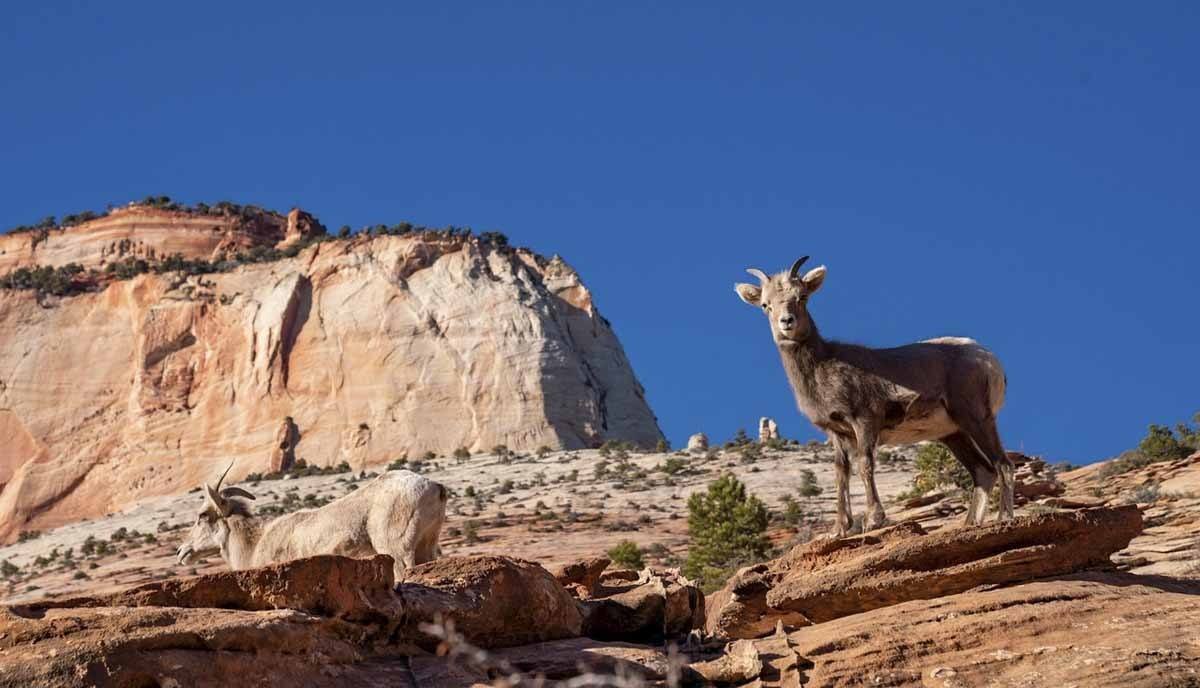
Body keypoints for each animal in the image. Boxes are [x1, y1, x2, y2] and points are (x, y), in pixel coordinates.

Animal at [175, 458, 444, 576]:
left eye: (203, 515)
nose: (182, 552)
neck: (255, 543)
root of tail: (435, 488)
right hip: (426, 547)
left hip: (397, 551)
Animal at [729, 254, 1012, 533]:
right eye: (765, 305)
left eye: (802, 297)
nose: (786, 322)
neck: (821, 368)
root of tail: (988, 359)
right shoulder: (837, 432)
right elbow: (841, 472)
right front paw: (839, 528)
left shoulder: (864, 420)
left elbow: (865, 464)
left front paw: (873, 519)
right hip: (952, 433)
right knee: (983, 472)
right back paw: (969, 524)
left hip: (975, 417)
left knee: (1003, 464)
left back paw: (1003, 518)